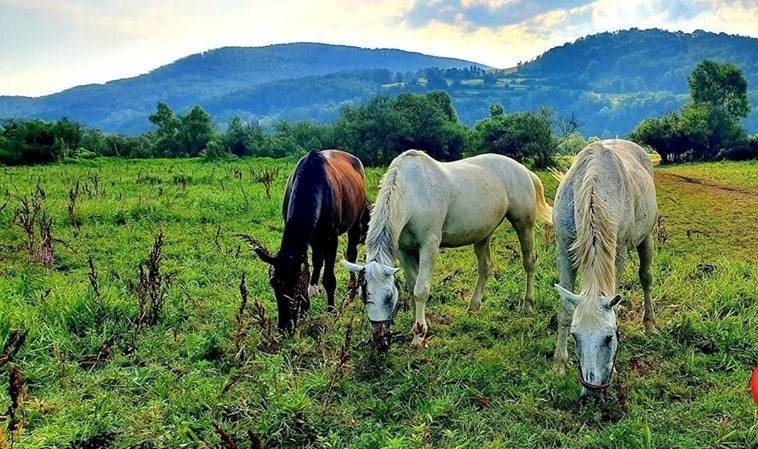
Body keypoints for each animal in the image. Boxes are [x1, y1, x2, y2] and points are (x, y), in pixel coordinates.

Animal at [254, 150, 370, 332]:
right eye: (273, 283)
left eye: (296, 285)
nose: (284, 327)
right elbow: (312, 263)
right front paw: (306, 306)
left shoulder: (331, 238)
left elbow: (329, 278)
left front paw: (331, 311)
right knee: (317, 259)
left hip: (355, 221)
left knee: (351, 253)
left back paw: (351, 291)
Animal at [342, 149, 552, 348]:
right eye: (362, 295)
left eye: (388, 296)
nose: (379, 340)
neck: (413, 192)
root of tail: (523, 169)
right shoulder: (404, 251)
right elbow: (412, 286)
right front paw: (417, 328)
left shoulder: (429, 246)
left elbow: (421, 289)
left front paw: (419, 336)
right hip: (483, 234)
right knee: (485, 267)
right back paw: (473, 306)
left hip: (524, 224)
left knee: (529, 261)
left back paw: (528, 305)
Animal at [552, 140, 660, 400]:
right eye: (575, 336)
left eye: (610, 337)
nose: (592, 393)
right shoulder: (563, 248)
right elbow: (565, 310)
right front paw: (559, 364)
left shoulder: (618, 253)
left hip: (647, 237)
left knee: (646, 278)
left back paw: (649, 324)